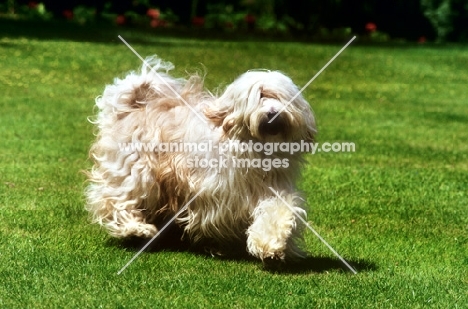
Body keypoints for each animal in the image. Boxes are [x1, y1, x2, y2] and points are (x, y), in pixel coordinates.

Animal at [86, 56, 316, 262]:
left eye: (280, 97)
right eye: (259, 96)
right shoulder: (214, 192)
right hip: (134, 171)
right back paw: (135, 229)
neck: (256, 149)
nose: (273, 113)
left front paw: (271, 245)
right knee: (115, 199)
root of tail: (133, 104)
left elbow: (277, 210)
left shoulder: (273, 188)